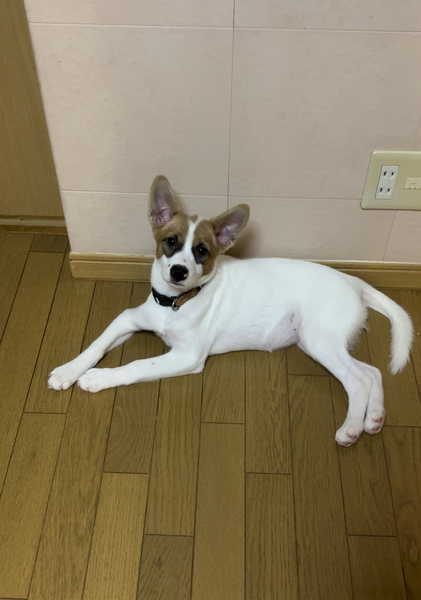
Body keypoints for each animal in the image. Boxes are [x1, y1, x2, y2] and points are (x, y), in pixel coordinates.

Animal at [48, 175, 414, 446]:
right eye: (171, 241)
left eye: (201, 251)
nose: (179, 271)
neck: (175, 304)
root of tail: (353, 281)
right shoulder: (130, 317)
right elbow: (96, 344)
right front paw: (68, 371)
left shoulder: (188, 356)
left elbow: (138, 365)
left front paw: (99, 378)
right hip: (325, 341)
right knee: (373, 372)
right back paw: (374, 418)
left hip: (318, 338)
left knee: (358, 379)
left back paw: (352, 428)